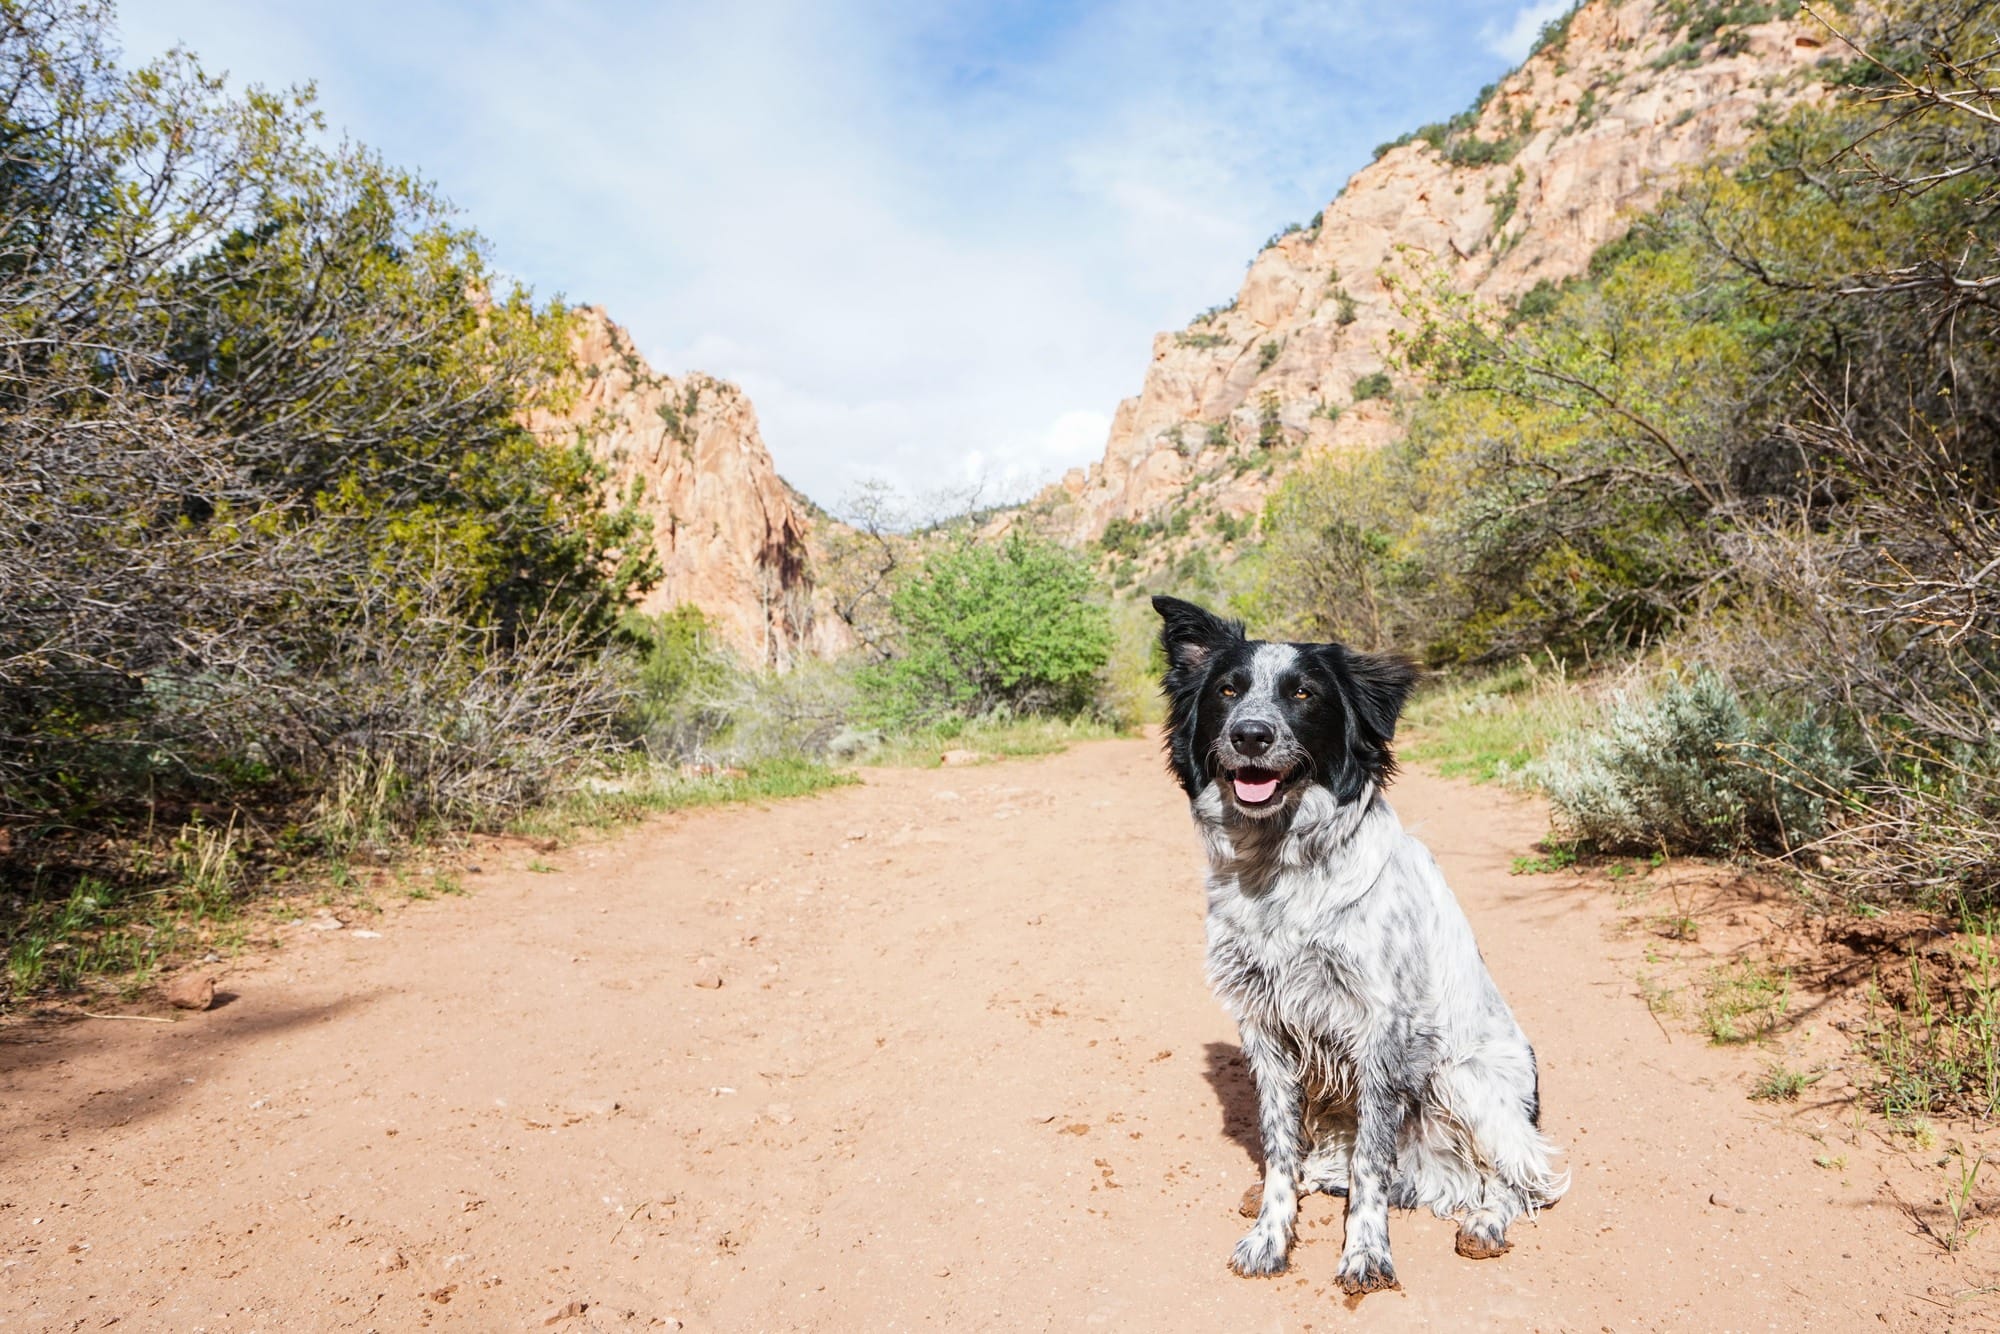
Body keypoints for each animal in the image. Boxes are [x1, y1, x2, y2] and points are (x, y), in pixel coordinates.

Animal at [1160, 596, 1560, 1296]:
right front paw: (1271, 1231)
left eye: (1303, 693)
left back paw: (1486, 1220)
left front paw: (1366, 1253)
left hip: (1461, 1077)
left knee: (1522, 1177)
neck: (1281, 869)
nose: (1251, 735)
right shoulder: (1264, 1025)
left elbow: (1373, 1165)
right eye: (1228, 691)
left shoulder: (1383, 1029)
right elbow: (1280, 1145)